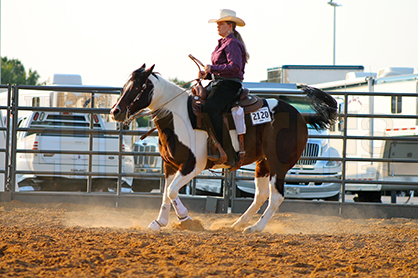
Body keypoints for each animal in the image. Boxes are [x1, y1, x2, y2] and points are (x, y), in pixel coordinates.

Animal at [110, 64, 336, 232]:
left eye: (137, 87)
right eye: (125, 85)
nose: (115, 112)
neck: (178, 116)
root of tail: (301, 116)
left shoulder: (193, 165)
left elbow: (173, 191)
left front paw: (187, 220)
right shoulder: (170, 166)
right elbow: (166, 193)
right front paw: (159, 223)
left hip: (278, 165)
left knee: (276, 196)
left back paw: (255, 227)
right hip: (262, 163)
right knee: (261, 195)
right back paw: (238, 223)